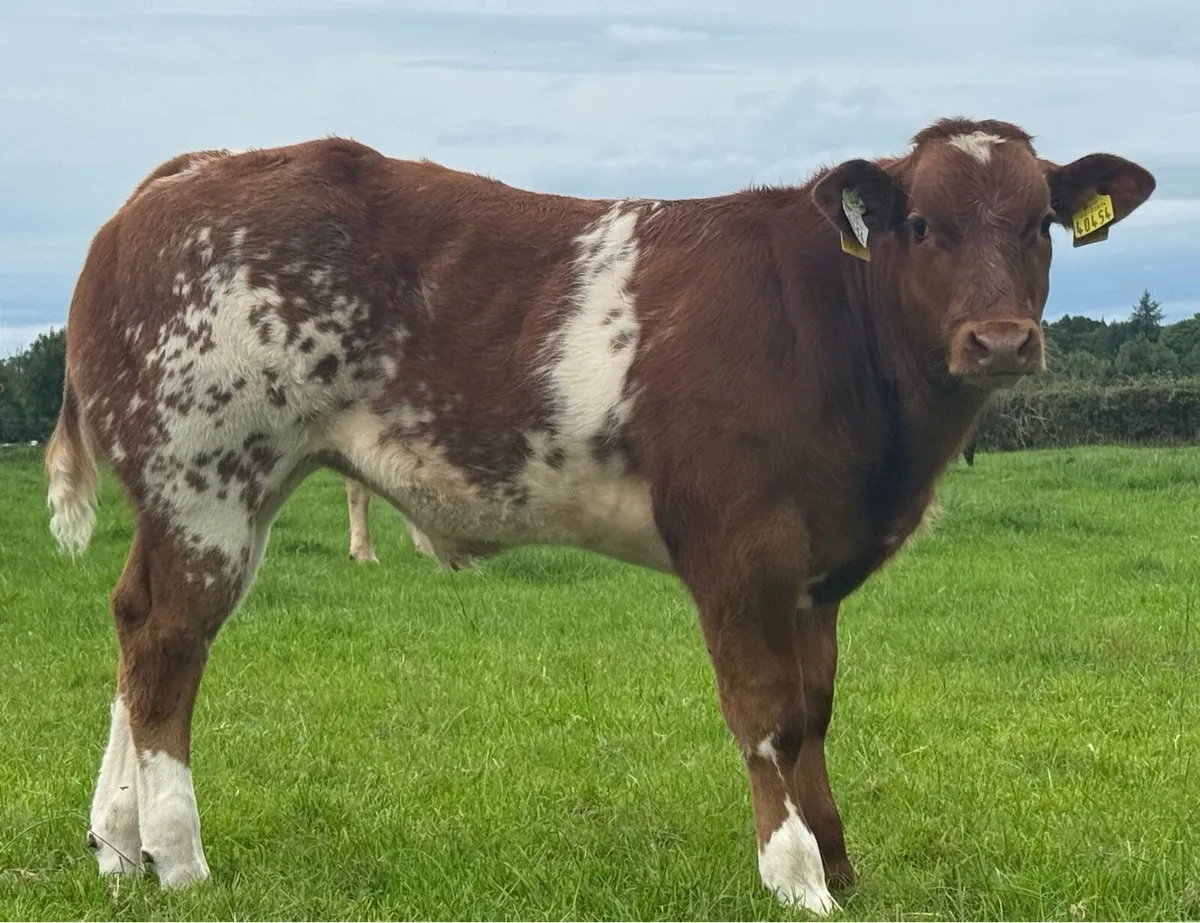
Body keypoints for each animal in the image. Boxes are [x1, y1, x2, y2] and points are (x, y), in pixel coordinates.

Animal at [44, 118, 1154, 914]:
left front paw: (839, 862)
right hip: (210, 474)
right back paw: (181, 859)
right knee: (170, 640)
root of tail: (189, 173)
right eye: (922, 224)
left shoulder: (817, 569)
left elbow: (815, 712)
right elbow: (765, 712)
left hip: (207, 488)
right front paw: (797, 878)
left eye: (1041, 225)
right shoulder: (742, 544)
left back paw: (118, 846)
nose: (1000, 338)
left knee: (134, 622)